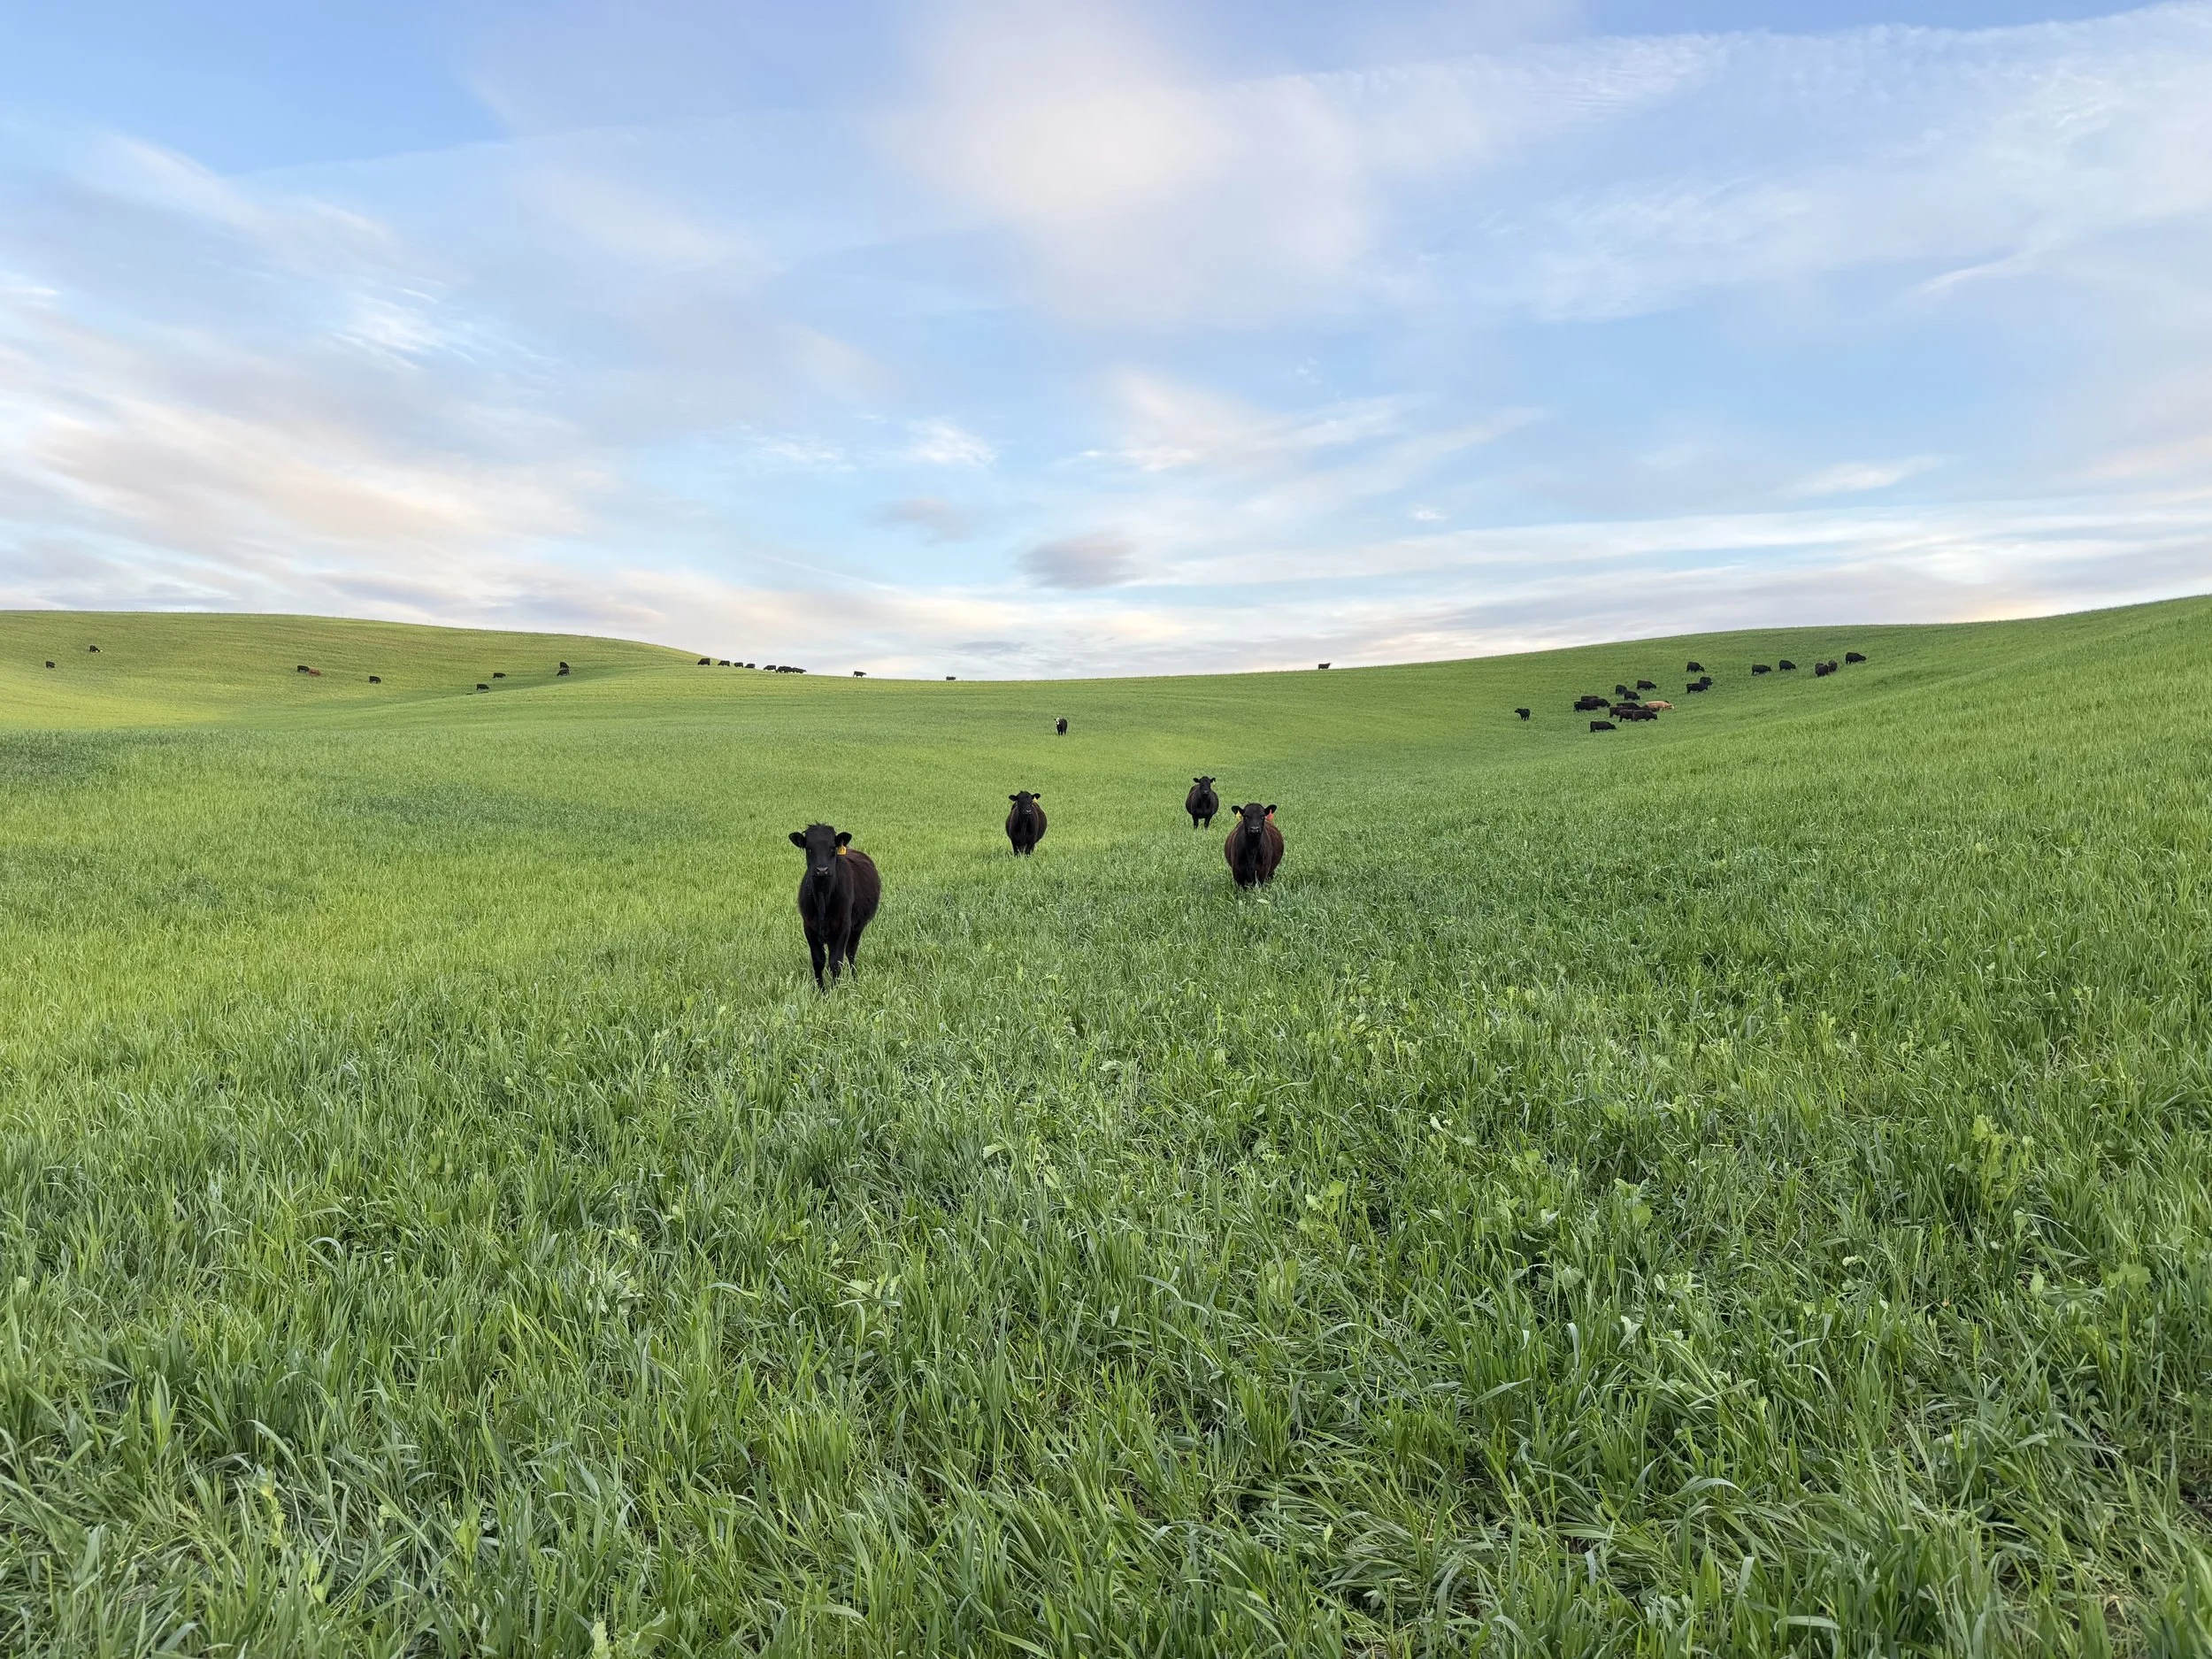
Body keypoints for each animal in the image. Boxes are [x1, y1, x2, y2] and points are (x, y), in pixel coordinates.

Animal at [788, 823, 881, 990]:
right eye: (809, 848)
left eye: (832, 848)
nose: (822, 870)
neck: (822, 899)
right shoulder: (808, 927)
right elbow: (818, 961)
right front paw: (821, 990)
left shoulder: (843, 927)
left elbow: (836, 961)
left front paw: (835, 990)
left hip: (857, 927)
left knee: (851, 952)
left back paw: (854, 979)